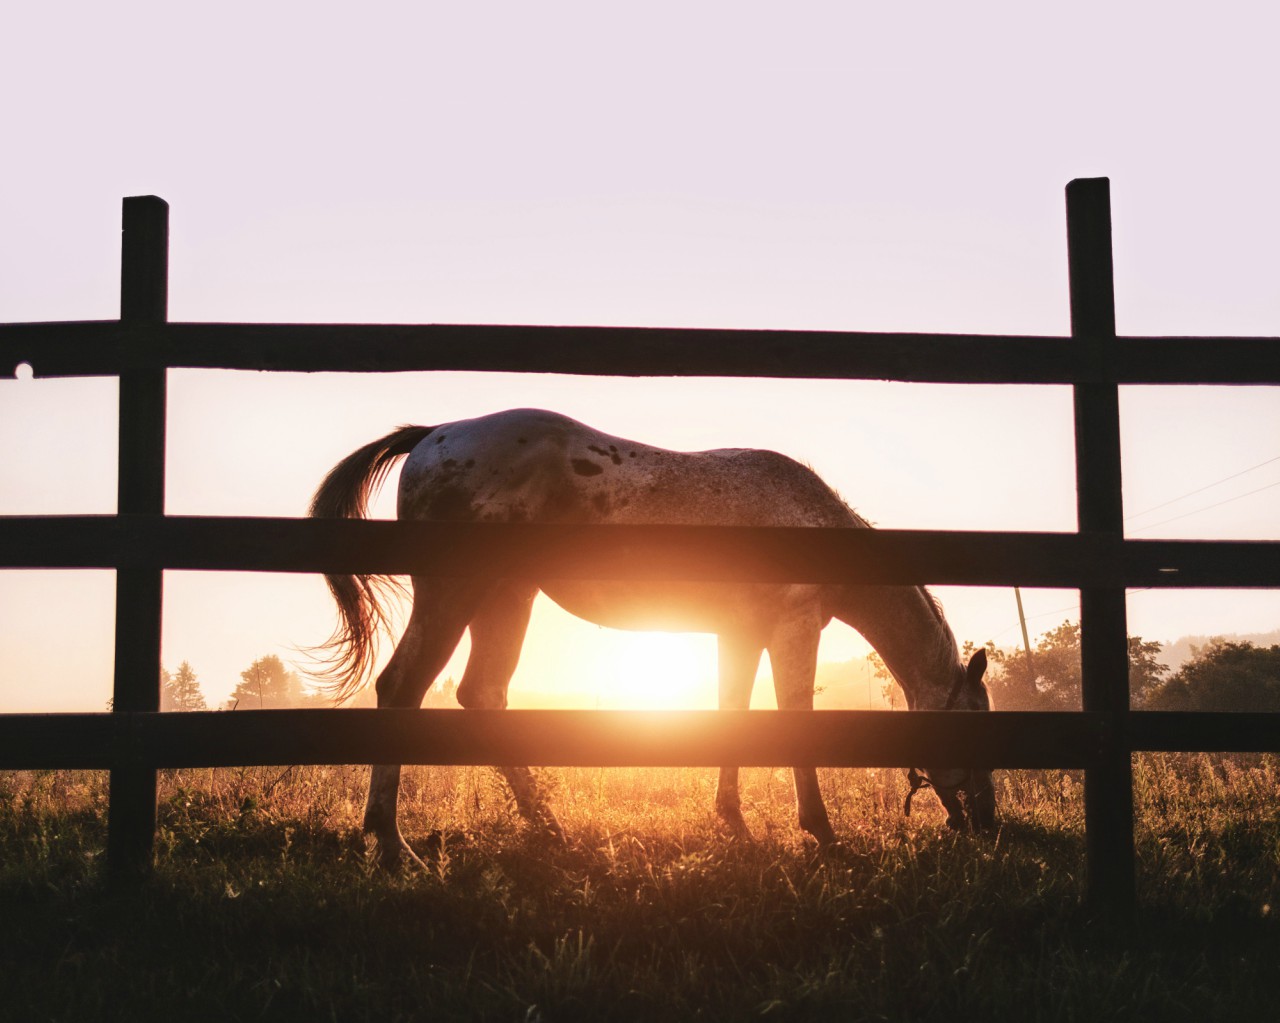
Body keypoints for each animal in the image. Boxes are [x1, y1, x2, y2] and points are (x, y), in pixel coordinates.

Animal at [309, 404, 998, 870]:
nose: (987, 825)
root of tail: (436, 436)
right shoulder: (792, 630)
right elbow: (793, 722)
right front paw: (822, 832)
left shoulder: (740, 636)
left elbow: (733, 718)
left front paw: (734, 824)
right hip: (455, 594)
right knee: (403, 688)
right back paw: (391, 843)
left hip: (506, 598)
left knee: (482, 695)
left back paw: (549, 829)